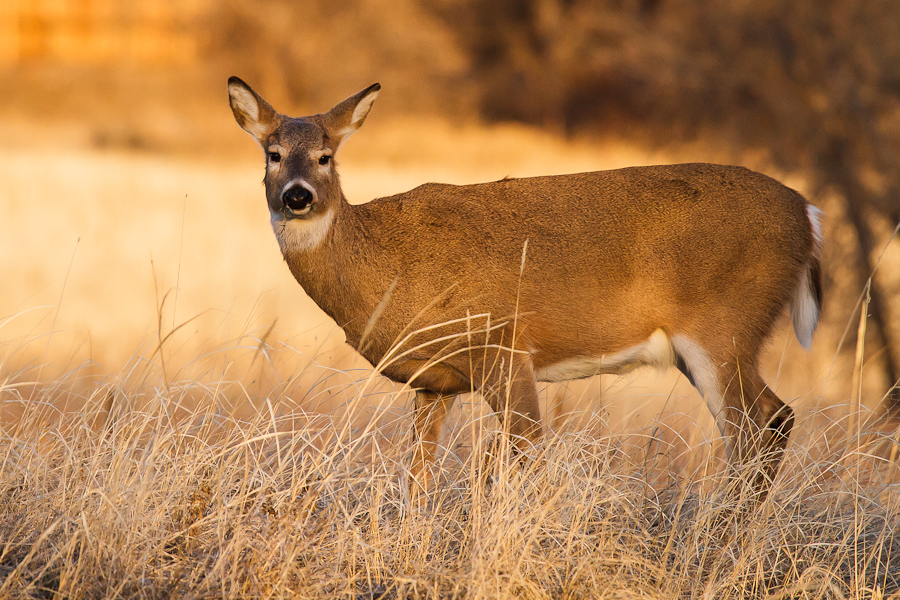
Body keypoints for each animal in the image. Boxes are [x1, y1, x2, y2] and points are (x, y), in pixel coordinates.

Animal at [227, 77, 823, 504]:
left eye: (325, 156)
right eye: (273, 154)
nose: (298, 195)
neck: (386, 264)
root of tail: (808, 216)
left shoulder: (503, 344)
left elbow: (526, 449)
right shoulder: (434, 380)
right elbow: (417, 475)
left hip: (723, 325)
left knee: (758, 428)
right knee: (772, 421)